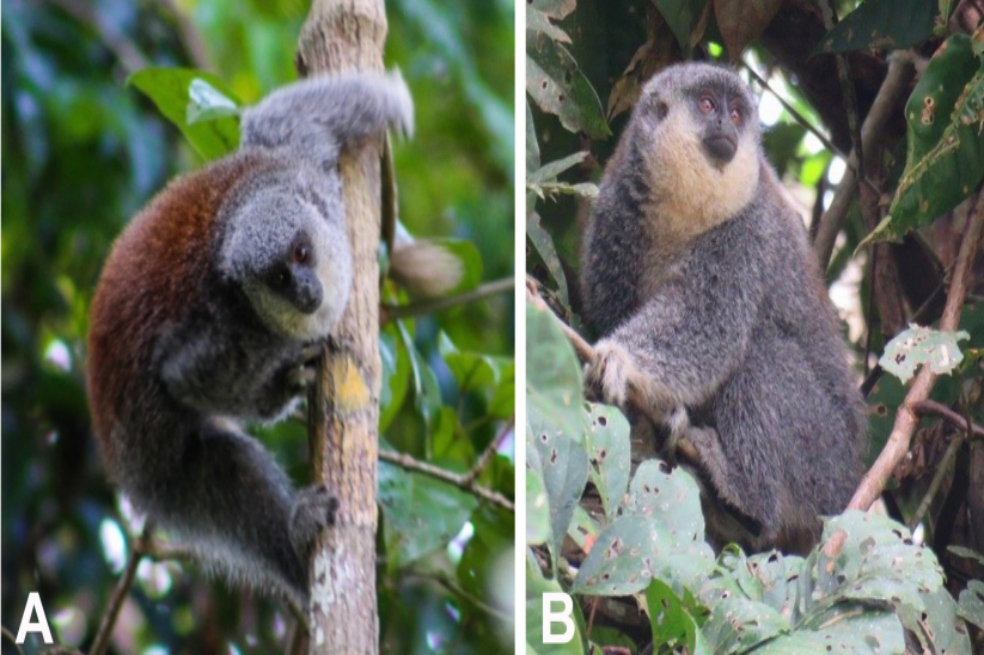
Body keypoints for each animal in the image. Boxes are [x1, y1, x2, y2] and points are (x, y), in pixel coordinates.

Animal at [86, 71, 414, 609]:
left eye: (301, 253)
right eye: (277, 278)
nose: (304, 289)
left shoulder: (291, 154)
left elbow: (279, 116)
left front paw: (390, 102)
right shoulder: (230, 332)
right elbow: (178, 377)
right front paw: (279, 391)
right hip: (150, 462)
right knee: (217, 468)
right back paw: (297, 544)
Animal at [580, 62, 867, 554]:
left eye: (736, 114)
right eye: (707, 105)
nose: (724, 127)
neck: (683, 213)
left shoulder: (744, 231)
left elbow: (708, 328)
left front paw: (620, 361)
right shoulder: (616, 208)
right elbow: (611, 312)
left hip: (823, 461)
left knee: (761, 352)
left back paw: (746, 498)